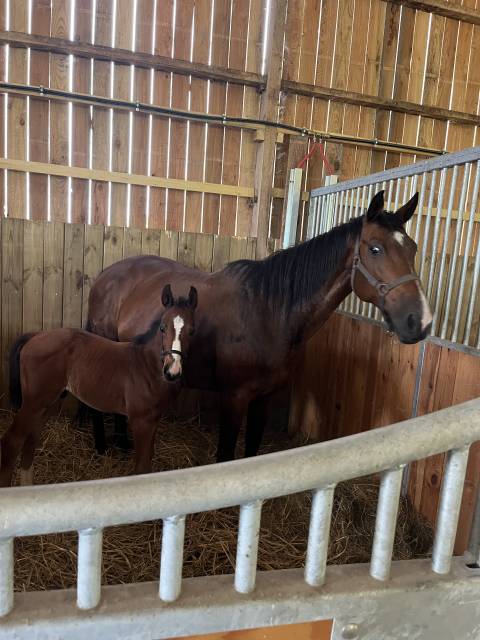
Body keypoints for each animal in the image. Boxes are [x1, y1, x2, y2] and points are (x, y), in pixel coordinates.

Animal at [0, 284, 197, 487]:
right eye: (162, 327)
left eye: (192, 331)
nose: (172, 371)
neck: (146, 365)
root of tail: (35, 335)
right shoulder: (141, 422)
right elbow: (142, 468)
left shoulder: (153, 421)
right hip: (33, 402)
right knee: (11, 442)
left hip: (47, 404)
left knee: (30, 440)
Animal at [86, 190, 433, 463]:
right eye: (375, 248)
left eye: (413, 248)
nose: (420, 321)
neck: (269, 312)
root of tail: (105, 276)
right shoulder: (234, 397)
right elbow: (226, 454)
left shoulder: (265, 397)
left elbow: (251, 448)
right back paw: (103, 447)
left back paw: (122, 444)